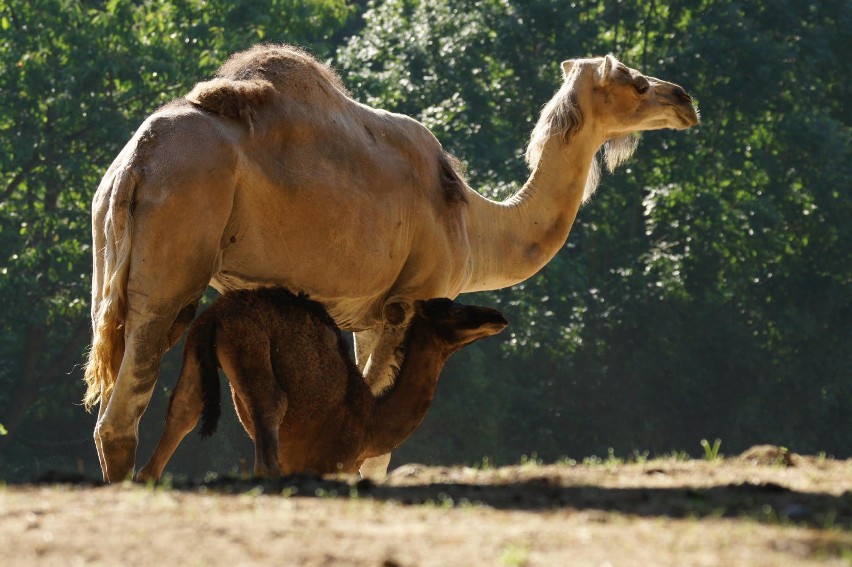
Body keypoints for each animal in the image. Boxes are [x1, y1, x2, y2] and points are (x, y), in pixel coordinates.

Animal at [134, 288, 506, 480]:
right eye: (454, 311)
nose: (497, 316)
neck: (370, 422)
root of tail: (216, 315)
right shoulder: (330, 464)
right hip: (249, 342)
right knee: (270, 411)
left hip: (195, 346)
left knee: (182, 410)